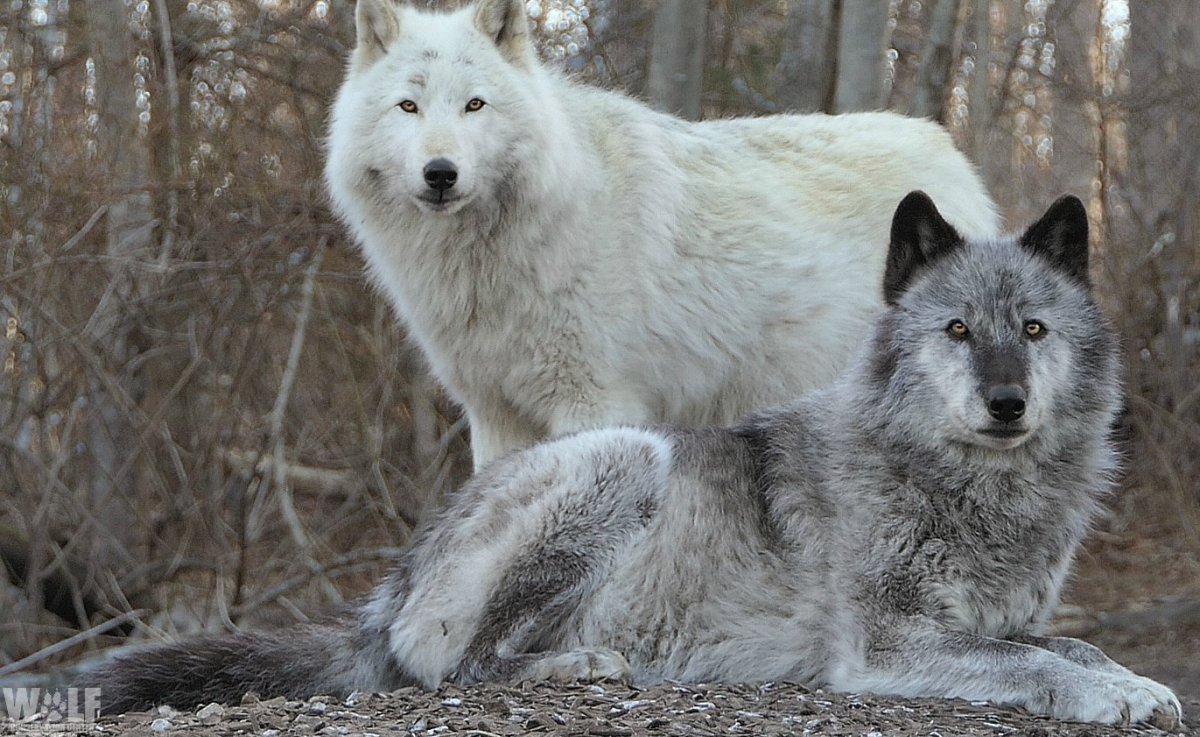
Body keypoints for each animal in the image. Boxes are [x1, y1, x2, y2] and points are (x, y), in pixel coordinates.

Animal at [83, 193, 1181, 728]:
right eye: (956, 329)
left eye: (1032, 329)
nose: (1006, 402)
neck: (964, 485)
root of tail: (395, 576)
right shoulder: (886, 646)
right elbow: (1033, 660)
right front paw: (1114, 696)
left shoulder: (1001, 616)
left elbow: (1070, 643)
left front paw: (1129, 675)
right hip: (625, 454)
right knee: (449, 666)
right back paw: (584, 661)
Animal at [325, 0, 1002, 469]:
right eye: (408, 107)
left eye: (474, 105)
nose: (440, 173)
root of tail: (950, 153)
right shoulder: (493, 413)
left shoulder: (594, 403)